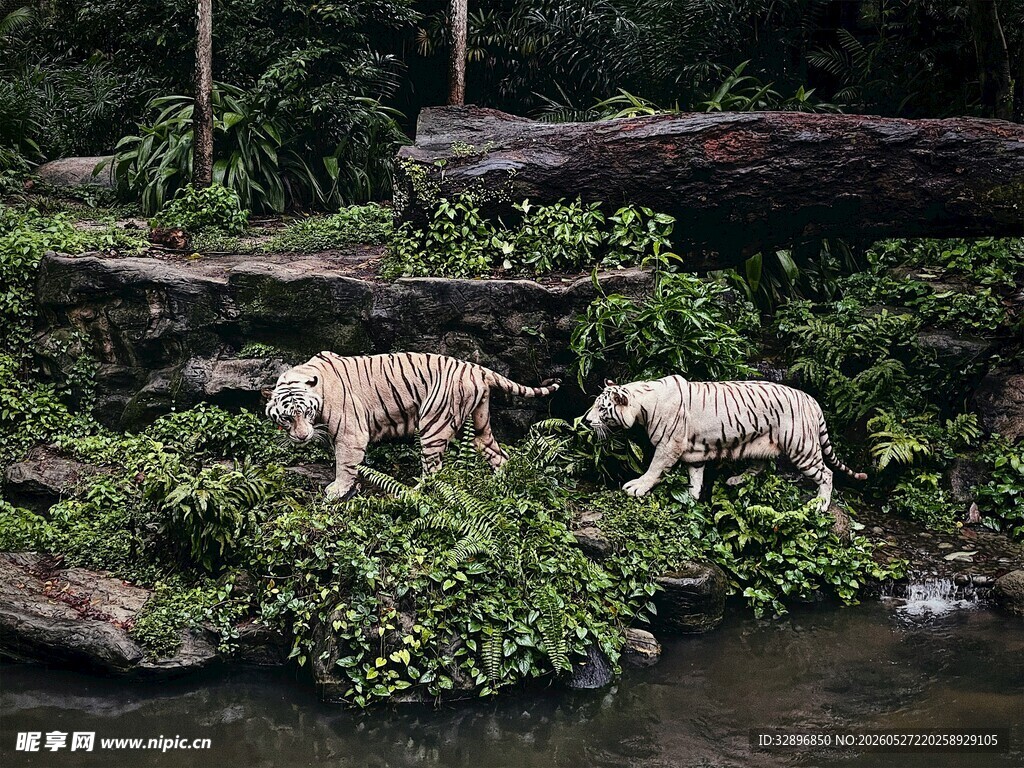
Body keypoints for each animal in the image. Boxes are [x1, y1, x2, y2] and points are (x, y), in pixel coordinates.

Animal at [264, 351, 561, 500]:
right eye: (287, 417)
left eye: (306, 412)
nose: (302, 437)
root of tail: (476, 368)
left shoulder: (351, 434)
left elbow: (345, 464)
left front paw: (337, 489)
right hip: (480, 424)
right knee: (498, 455)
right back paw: (500, 484)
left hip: (433, 425)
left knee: (434, 471)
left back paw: (409, 493)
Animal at [583, 376, 867, 509]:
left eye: (602, 408)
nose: (585, 420)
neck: (643, 403)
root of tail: (812, 400)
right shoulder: (693, 452)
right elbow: (695, 476)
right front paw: (691, 497)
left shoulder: (668, 446)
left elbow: (654, 468)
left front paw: (637, 487)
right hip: (759, 442)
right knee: (759, 466)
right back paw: (736, 480)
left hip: (802, 447)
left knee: (827, 473)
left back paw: (821, 504)